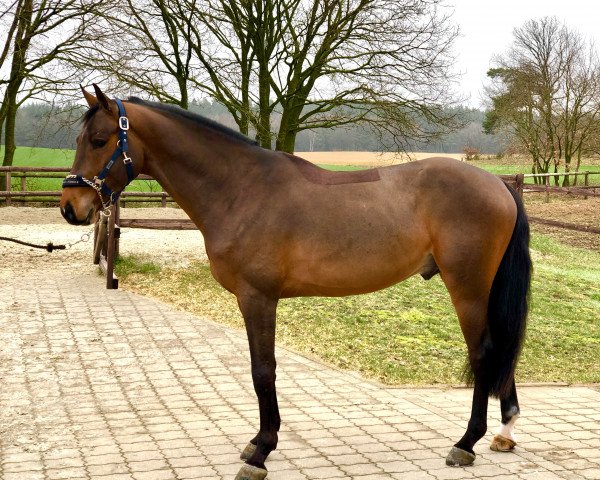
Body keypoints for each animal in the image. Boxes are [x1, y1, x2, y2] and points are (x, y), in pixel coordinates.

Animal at [59, 85, 528, 480]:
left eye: (99, 140)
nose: (69, 207)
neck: (240, 190)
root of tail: (498, 185)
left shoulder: (259, 297)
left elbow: (263, 370)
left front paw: (262, 452)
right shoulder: (251, 300)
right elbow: (259, 368)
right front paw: (256, 443)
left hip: (468, 287)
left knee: (485, 352)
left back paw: (466, 443)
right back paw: (504, 432)